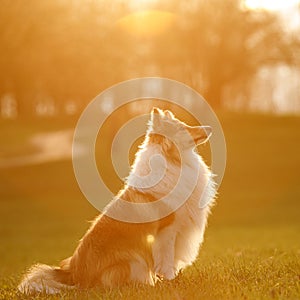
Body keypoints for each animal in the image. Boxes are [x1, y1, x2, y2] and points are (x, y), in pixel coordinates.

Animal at [18, 107, 216, 292]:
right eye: (183, 128)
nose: (209, 127)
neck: (173, 162)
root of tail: (74, 276)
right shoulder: (167, 231)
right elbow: (166, 261)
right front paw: (170, 282)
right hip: (133, 261)